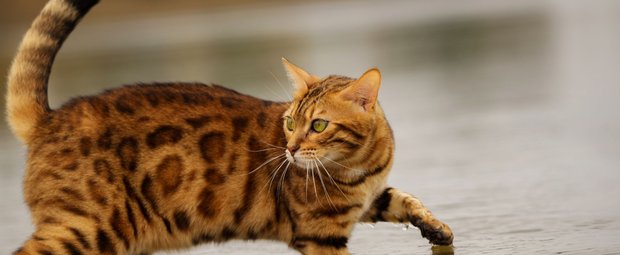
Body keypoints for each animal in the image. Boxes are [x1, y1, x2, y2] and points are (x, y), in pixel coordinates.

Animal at [6, 0, 456, 255]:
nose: (290, 149)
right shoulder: (320, 234)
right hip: (88, 228)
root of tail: (50, 117)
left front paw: (436, 229)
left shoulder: (369, 198)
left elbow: (404, 199)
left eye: (318, 124)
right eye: (291, 122)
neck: (360, 165)